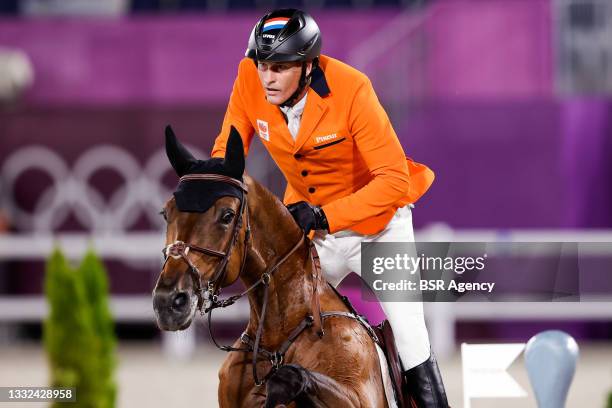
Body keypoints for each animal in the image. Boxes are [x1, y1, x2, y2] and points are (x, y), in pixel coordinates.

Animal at [153, 126, 396, 406]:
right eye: (165, 213)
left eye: (227, 216)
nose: (167, 303)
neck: (276, 340)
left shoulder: (357, 393)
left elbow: (289, 376)